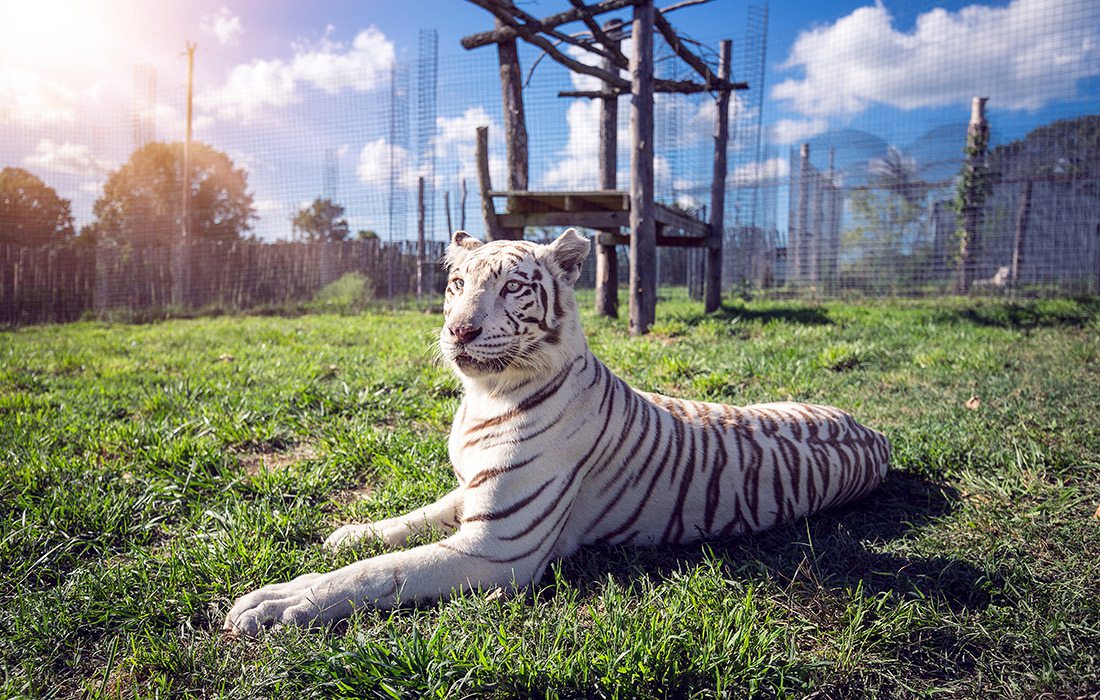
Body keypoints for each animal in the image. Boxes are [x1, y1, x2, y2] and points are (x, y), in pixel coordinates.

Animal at [225, 227, 893, 633]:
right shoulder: (472, 491)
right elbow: (409, 521)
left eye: (513, 287)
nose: (459, 331)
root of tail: (877, 433)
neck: (483, 399)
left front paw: (278, 601)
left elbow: (382, 571)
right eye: (457, 285)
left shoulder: (498, 545)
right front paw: (351, 532)